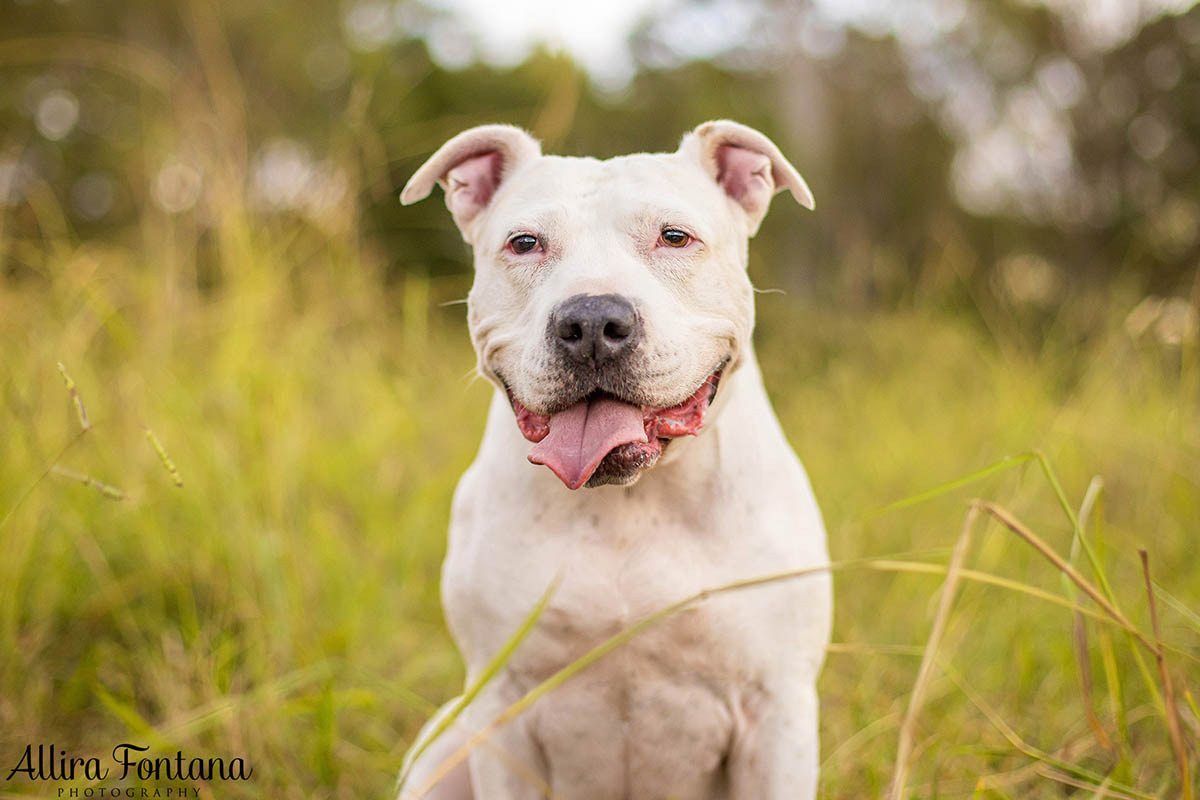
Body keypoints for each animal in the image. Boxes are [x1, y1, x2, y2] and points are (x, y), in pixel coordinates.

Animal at [398, 120, 830, 800]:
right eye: (525, 243)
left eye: (675, 236)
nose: (593, 320)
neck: (630, 502)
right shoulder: (500, 709)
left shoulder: (777, 712)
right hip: (444, 744)